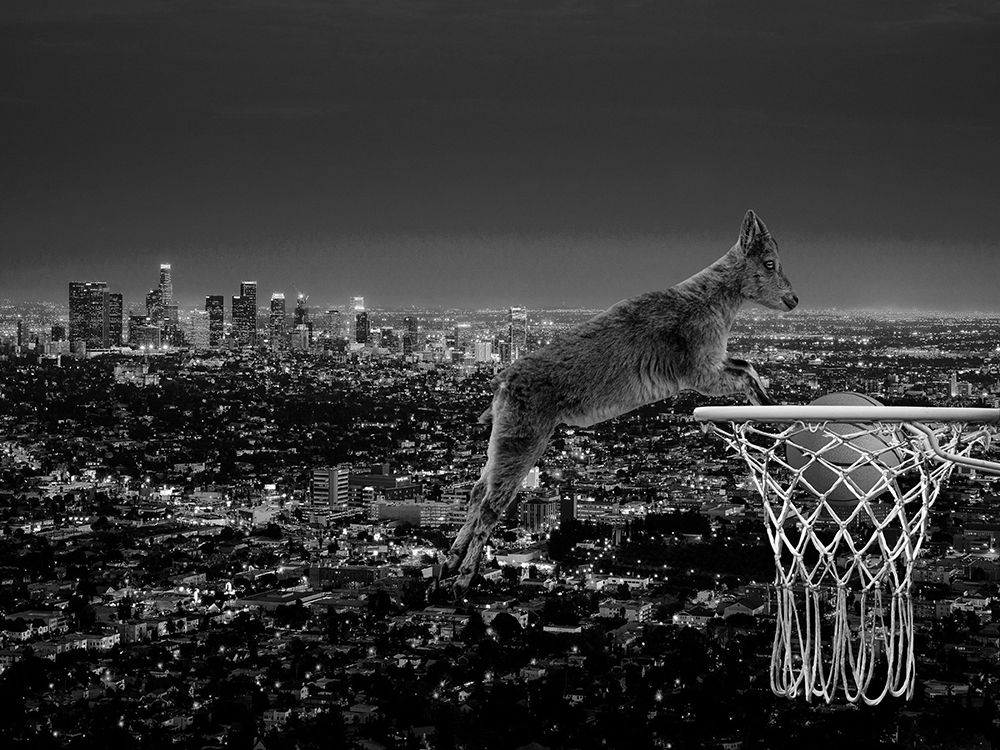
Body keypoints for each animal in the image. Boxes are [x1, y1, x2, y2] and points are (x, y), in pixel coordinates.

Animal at [441, 210, 798, 597]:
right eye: (769, 263)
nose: (793, 300)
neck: (712, 299)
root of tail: (503, 381)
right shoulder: (702, 374)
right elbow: (746, 373)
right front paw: (772, 409)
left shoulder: (714, 366)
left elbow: (747, 365)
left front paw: (771, 407)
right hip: (523, 440)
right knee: (491, 505)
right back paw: (462, 577)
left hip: (502, 440)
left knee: (477, 492)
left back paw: (451, 559)